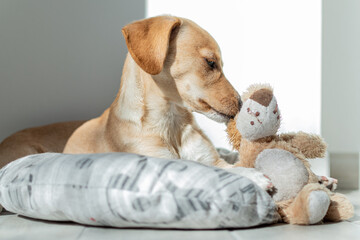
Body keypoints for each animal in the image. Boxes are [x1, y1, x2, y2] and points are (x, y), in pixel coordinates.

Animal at [0, 15, 272, 191]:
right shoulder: (164, 162)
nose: (241, 105)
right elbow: (212, 171)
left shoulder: (211, 159)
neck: (171, 123)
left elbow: (224, 166)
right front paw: (256, 177)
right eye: (210, 63)